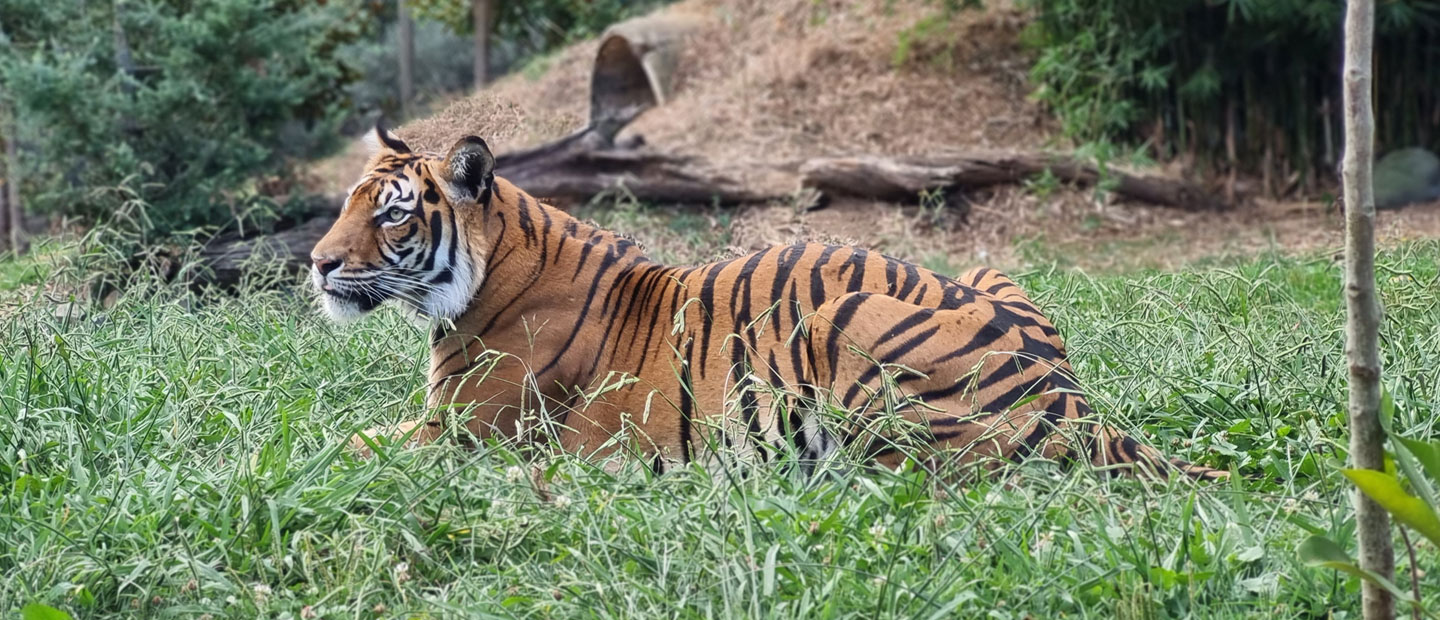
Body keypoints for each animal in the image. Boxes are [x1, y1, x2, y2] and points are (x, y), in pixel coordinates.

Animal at [308, 126, 1228, 481]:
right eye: (348, 202)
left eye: (391, 214)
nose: (317, 265)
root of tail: (1073, 394)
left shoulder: (459, 432)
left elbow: (350, 443)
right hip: (996, 270)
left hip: (838, 328)